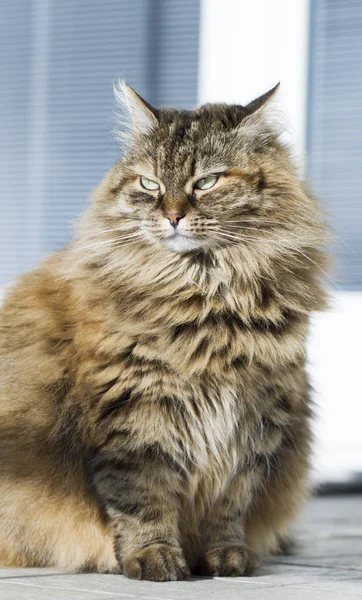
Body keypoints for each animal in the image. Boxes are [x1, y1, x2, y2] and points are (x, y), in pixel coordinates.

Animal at [0, 82, 328, 580]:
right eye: (149, 184)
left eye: (207, 182)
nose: (172, 215)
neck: (205, 301)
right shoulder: (134, 415)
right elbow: (143, 501)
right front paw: (154, 559)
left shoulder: (255, 421)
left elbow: (229, 505)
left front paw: (227, 558)